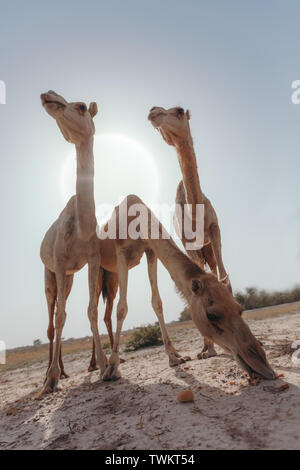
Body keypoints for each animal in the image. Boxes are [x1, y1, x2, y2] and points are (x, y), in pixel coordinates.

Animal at [97, 195, 276, 382]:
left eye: (240, 309)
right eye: (212, 315)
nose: (263, 366)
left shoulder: (150, 251)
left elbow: (156, 302)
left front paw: (175, 358)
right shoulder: (121, 252)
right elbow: (122, 308)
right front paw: (112, 368)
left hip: (110, 275)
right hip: (96, 266)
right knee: (92, 311)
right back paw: (102, 367)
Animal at [149, 104, 231, 358]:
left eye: (178, 111)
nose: (154, 111)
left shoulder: (214, 229)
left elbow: (225, 278)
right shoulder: (187, 243)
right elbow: (197, 283)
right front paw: (208, 349)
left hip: (209, 249)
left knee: (216, 270)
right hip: (200, 250)